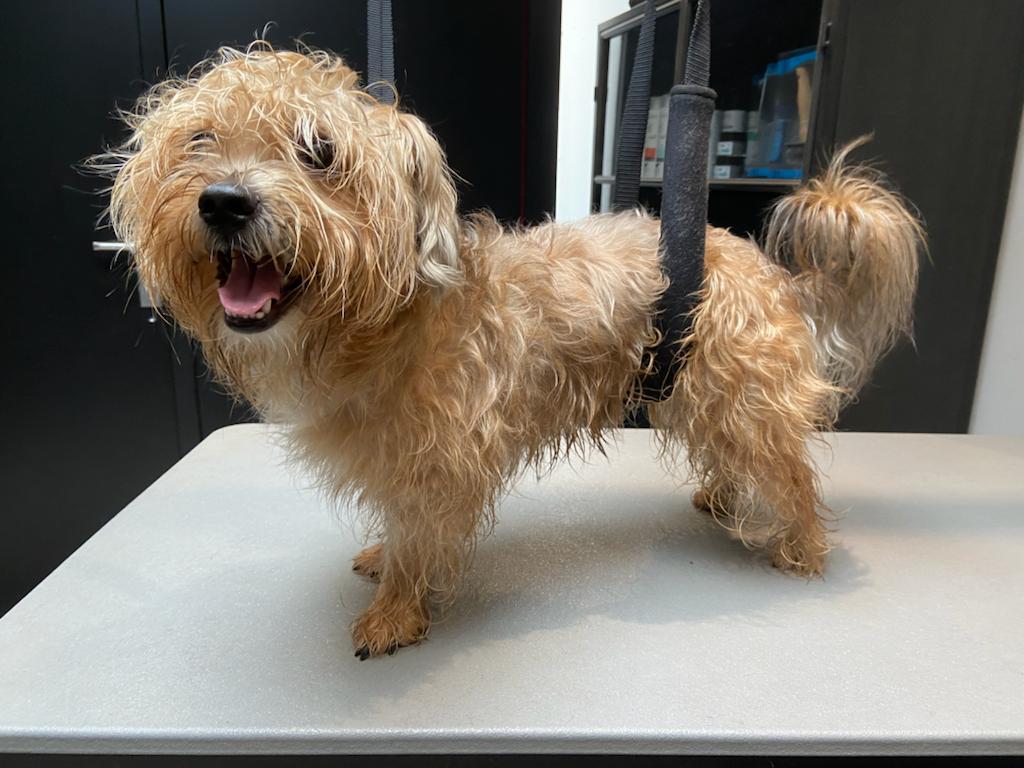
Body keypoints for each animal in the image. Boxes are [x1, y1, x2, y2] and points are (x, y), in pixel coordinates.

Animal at [99, 45, 922, 658]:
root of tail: (772, 272)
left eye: (318, 151)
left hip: (744, 400)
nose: (223, 202)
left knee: (792, 477)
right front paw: (384, 561)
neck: (384, 326)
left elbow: (419, 536)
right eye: (200, 141)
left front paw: (396, 608)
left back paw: (801, 548)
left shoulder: (439, 465)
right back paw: (722, 496)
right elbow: (400, 527)